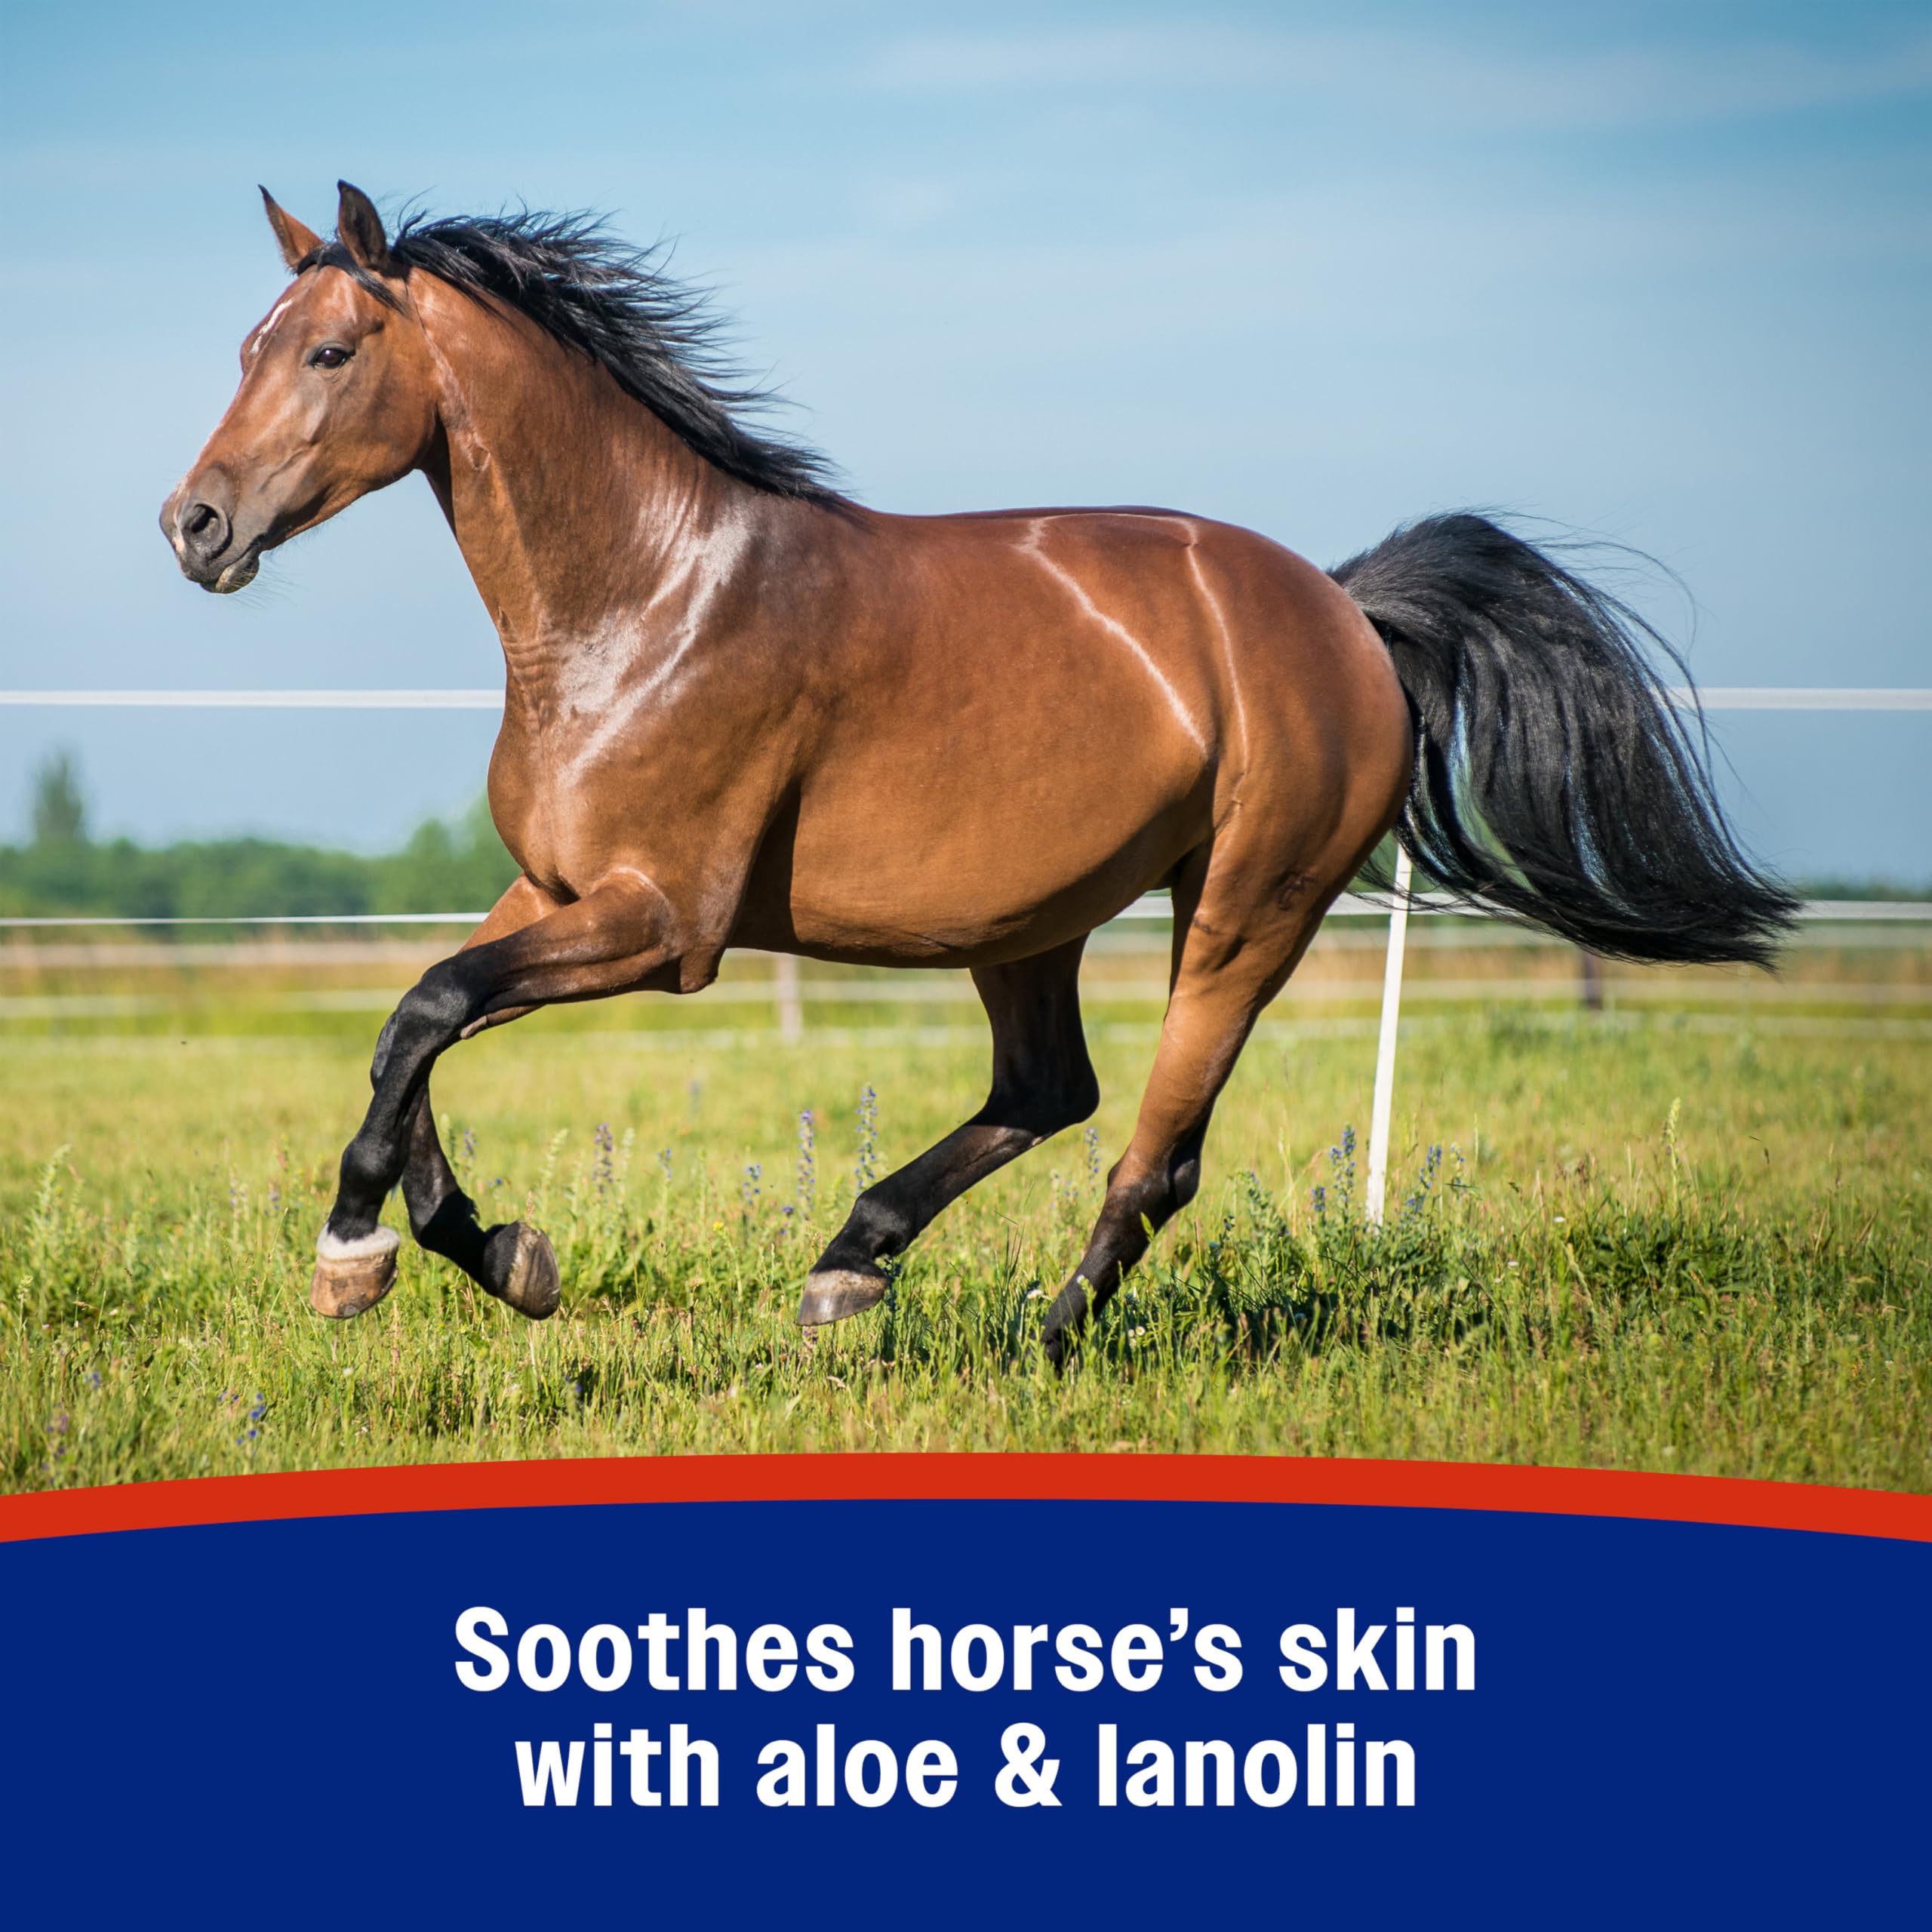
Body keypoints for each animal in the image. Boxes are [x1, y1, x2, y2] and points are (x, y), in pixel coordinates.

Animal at [161, 183, 1795, 1365]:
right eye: (244, 348)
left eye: (327, 351)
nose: (194, 523)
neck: (643, 597)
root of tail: (1343, 612)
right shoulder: (553, 888)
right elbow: (412, 1029)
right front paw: (495, 1253)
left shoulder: (663, 924)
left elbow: (426, 1008)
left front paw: (357, 1255)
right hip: (1028, 922)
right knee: (1048, 1090)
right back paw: (848, 1268)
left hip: (1246, 910)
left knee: (1153, 1153)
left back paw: (1038, 1340)